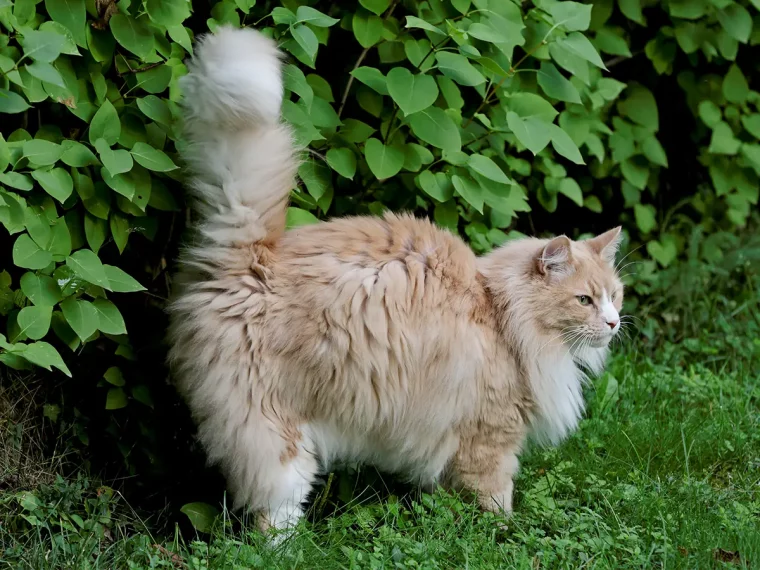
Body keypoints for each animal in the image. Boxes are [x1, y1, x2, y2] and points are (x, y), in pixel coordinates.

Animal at [169, 27, 628, 536]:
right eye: (584, 300)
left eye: (614, 296)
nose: (613, 323)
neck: (501, 313)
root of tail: (253, 258)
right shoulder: (490, 438)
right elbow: (496, 499)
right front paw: (505, 535)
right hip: (277, 435)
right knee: (272, 512)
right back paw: (288, 546)